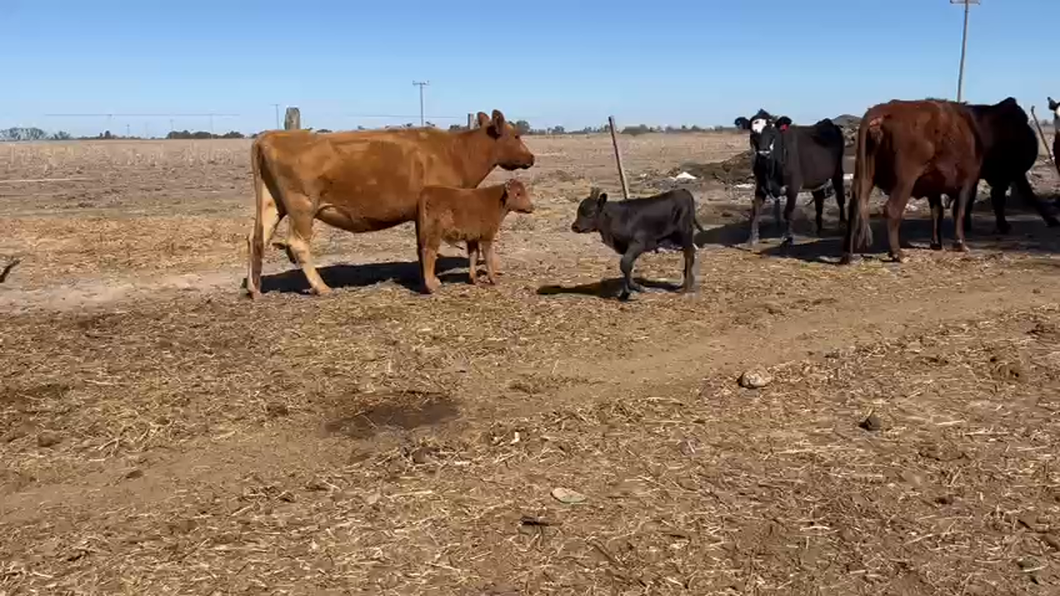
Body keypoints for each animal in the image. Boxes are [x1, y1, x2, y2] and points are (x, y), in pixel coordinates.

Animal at [243, 108, 534, 294]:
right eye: (516, 135)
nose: (531, 158)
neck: (456, 152)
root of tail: (269, 136)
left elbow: (421, 246)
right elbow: (429, 246)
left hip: (272, 204)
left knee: (256, 238)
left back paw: (254, 288)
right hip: (302, 207)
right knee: (297, 243)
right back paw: (321, 287)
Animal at [568, 186, 708, 299]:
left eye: (591, 212)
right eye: (578, 211)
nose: (575, 226)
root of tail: (682, 191)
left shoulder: (638, 243)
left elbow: (624, 264)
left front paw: (637, 288)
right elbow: (628, 266)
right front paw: (625, 294)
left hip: (685, 233)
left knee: (689, 255)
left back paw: (686, 288)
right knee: (689, 253)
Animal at [733, 110, 847, 247]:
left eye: (773, 133)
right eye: (753, 133)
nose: (764, 153)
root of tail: (826, 122)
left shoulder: (793, 186)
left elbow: (788, 212)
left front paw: (788, 238)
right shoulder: (760, 186)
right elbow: (755, 211)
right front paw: (752, 239)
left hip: (837, 172)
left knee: (840, 197)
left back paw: (842, 224)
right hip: (816, 179)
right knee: (819, 200)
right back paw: (818, 228)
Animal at [843, 99, 983, 261]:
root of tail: (885, 107)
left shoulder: (934, 188)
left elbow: (937, 212)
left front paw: (936, 243)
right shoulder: (966, 183)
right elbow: (959, 212)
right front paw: (960, 244)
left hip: (865, 174)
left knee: (855, 207)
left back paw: (848, 255)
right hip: (905, 180)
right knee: (892, 209)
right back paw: (898, 254)